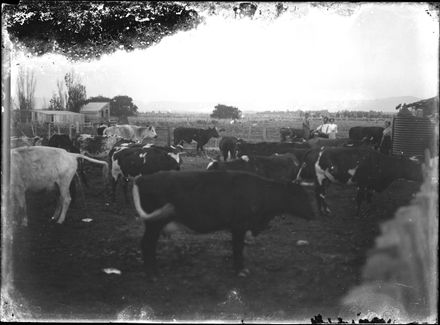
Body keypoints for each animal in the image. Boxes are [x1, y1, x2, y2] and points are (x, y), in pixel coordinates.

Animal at [132, 168, 314, 278]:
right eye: (300, 195)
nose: (314, 213)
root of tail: (143, 178)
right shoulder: (239, 227)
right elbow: (238, 248)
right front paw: (240, 270)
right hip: (154, 224)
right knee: (147, 244)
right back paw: (152, 273)